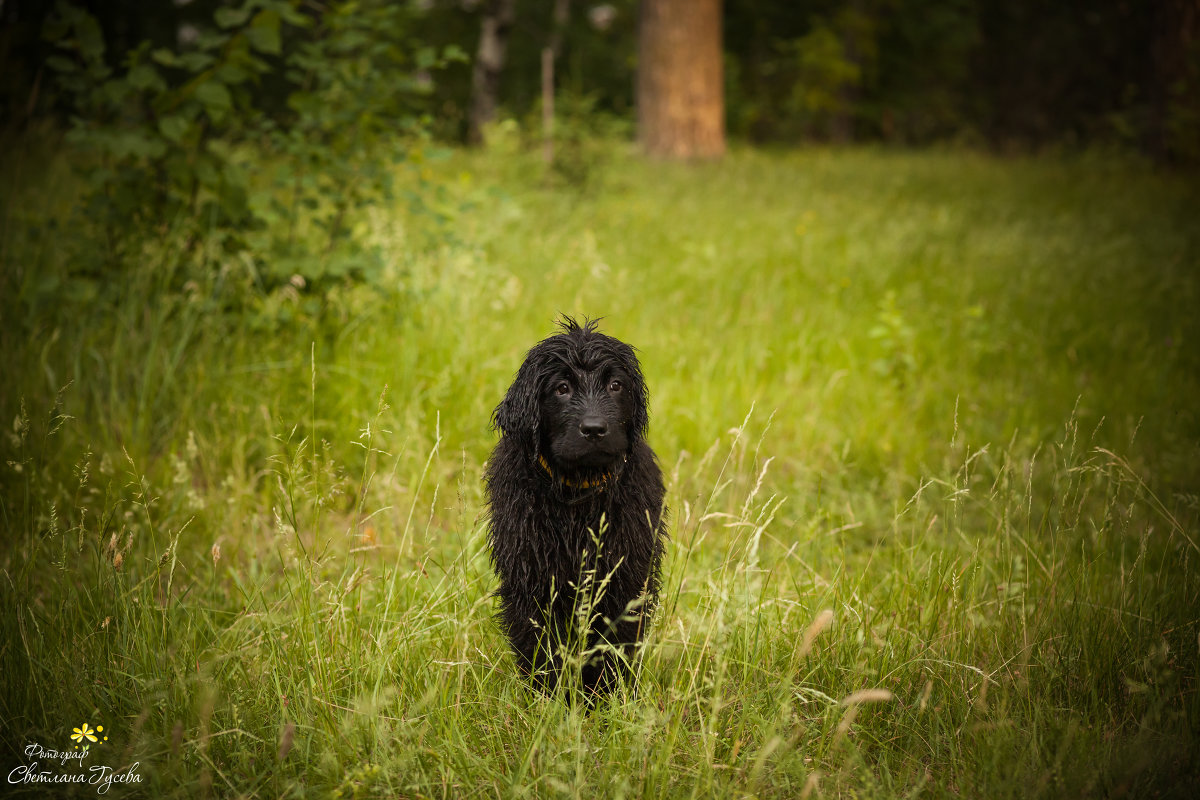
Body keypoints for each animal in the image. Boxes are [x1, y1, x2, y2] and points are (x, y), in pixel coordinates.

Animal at [484, 316, 667, 695]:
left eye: (615, 385)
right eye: (562, 388)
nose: (594, 429)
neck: (578, 494)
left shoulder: (624, 577)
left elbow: (613, 646)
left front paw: (605, 698)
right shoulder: (533, 579)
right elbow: (541, 648)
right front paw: (550, 699)